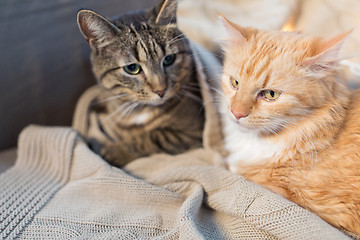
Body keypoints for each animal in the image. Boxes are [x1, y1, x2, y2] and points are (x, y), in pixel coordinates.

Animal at [76, 0, 204, 167]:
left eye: (169, 59)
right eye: (132, 68)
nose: (161, 90)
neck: (140, 111)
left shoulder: (193, 130)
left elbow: (153, 136)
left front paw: (115, 151)